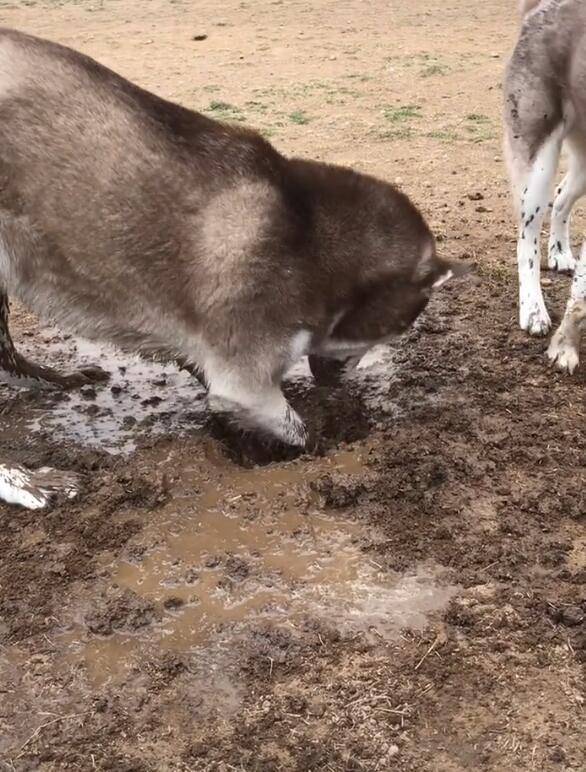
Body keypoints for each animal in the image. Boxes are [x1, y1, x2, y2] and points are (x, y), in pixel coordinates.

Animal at [1, 28, 460, 506]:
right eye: (397, 329)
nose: (333, 385)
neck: (308, 234)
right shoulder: (246, 379)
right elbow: (294, 428)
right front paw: (308, 447)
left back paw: (52, 380)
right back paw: (27, 481)